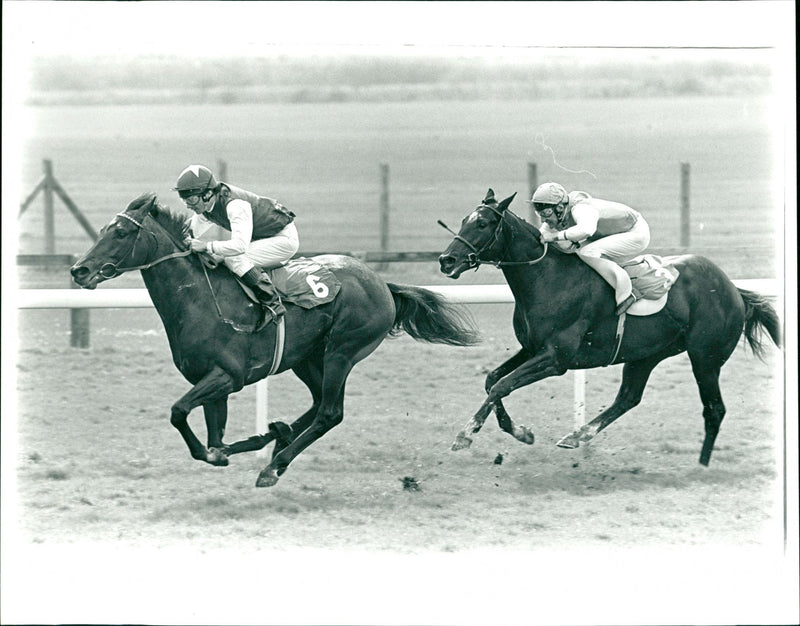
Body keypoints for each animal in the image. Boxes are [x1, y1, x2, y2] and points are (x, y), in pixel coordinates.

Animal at [70, 193, 476, 486]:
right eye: (104, 229)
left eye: (121, 233)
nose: (79, 270)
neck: (199, 299)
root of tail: (381, 283)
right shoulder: (211, 380)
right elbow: (213, 440)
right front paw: (239, 446)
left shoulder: (227, 376)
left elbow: (179, 412)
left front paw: (245, 449)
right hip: (307, 359)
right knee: (318, 405)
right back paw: (278, 436)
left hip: (341, 352)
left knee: (330, 413)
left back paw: (274, 465)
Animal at [438, 188, 780, 466]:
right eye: (464, 219)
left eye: (482, 224)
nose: (446, 260)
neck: (548, 279)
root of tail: (734, 289)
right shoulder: (532, 349)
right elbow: (493, 380)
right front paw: (521, 432)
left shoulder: (556, 359)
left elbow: (501, 385)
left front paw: (465, 435)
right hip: (647, 354)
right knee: (628, 397)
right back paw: (577, 436)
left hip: (705, 358)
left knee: (714, 410)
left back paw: (702, 466)